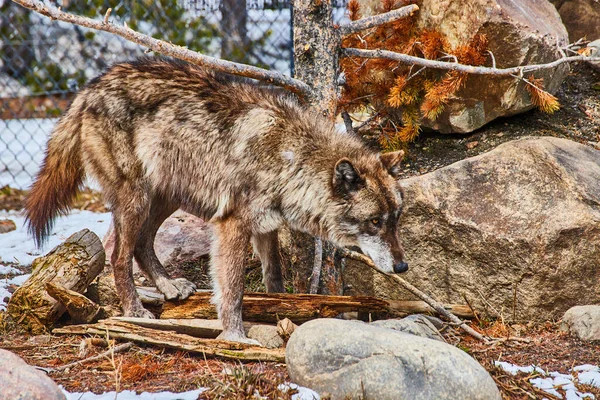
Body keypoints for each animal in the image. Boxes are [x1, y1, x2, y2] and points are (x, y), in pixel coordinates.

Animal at [24, 57, 408, 344]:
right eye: (375, 221)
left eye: (396, 219)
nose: (403, 267)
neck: (290, 159)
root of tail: (91, 86)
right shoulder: (232, 226)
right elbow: (233, 288)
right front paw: (236, 336)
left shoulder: (266, 228)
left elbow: (274, 278)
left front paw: (282, 314)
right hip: (137, 198)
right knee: (120, 256)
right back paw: (134, 312)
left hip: (168, 197)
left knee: (142, 244)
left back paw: (168, 285)